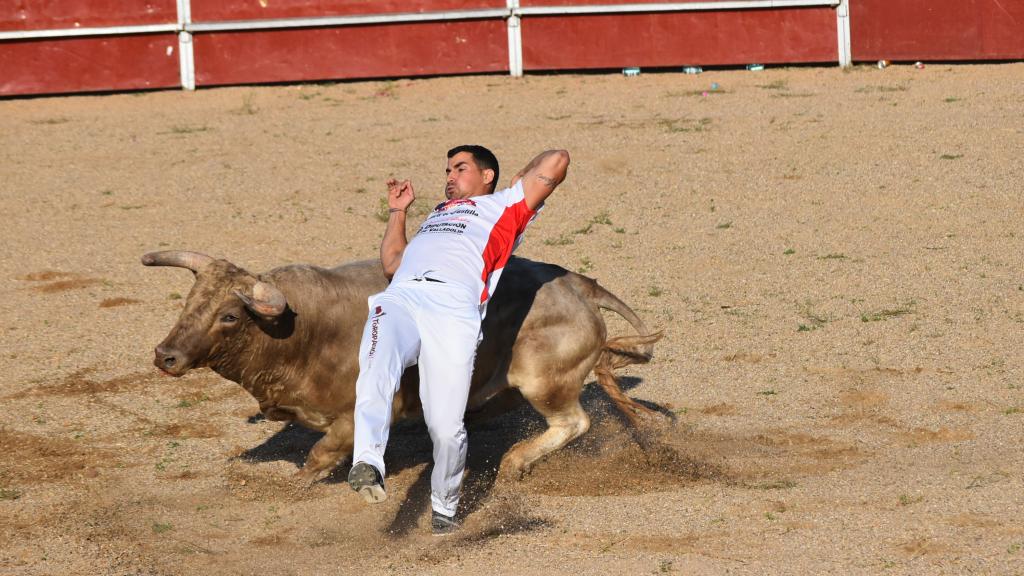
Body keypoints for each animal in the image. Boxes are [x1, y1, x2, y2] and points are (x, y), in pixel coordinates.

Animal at [144, 250, 663, 479]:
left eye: (230, 316)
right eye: (190, 301)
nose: (165, 356)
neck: (302, 329)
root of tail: (579, 285)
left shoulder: (364, 412)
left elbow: (319, 456)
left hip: (544, 380)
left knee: (573, 422)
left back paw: (515, 462)